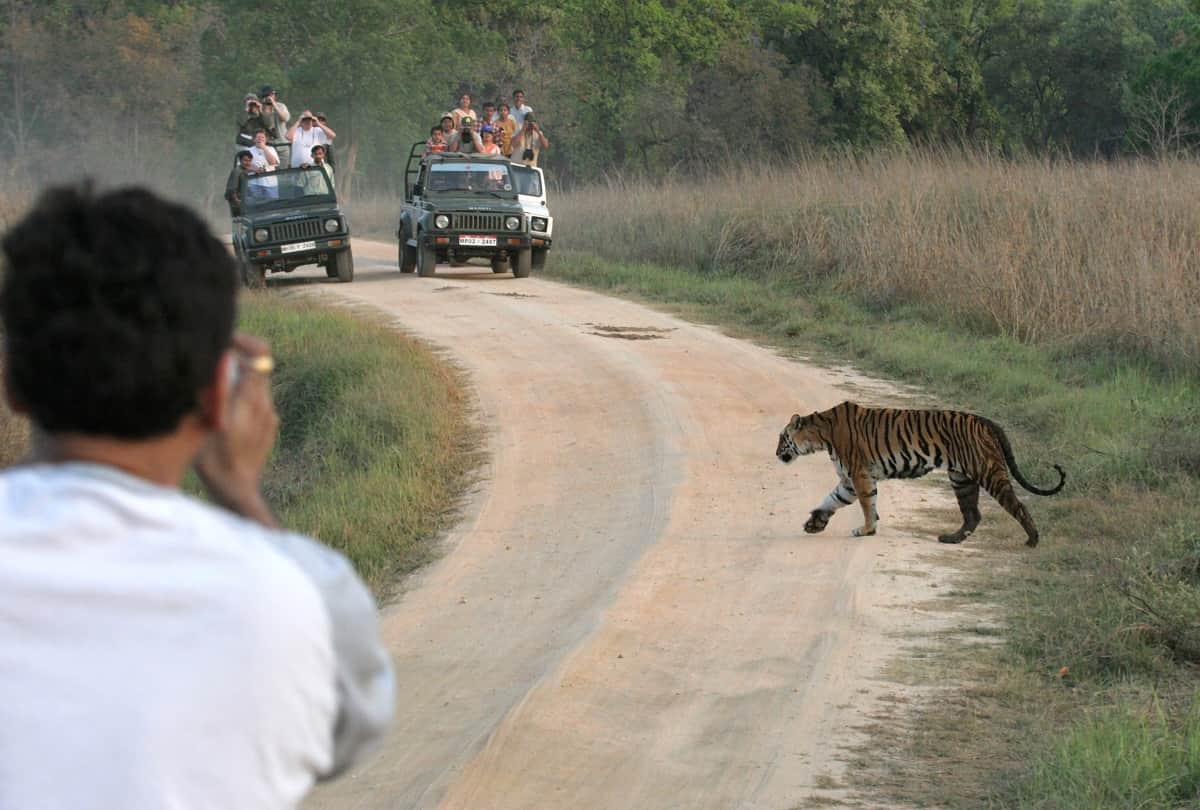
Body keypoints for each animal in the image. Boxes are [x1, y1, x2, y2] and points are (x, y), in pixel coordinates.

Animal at [775, 401, 1065, 547]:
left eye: (782, 438)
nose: (776, 453)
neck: (821, 435)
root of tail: (985, 420)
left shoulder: (859, 474)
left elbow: (867, 504)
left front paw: (867, 530)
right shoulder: (848, 480)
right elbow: (832, 500)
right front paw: (815, 523)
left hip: (989, 471)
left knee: (1018, 506)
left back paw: (1032, 540)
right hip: (962, 479)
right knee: (972, 513)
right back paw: (951, 539)